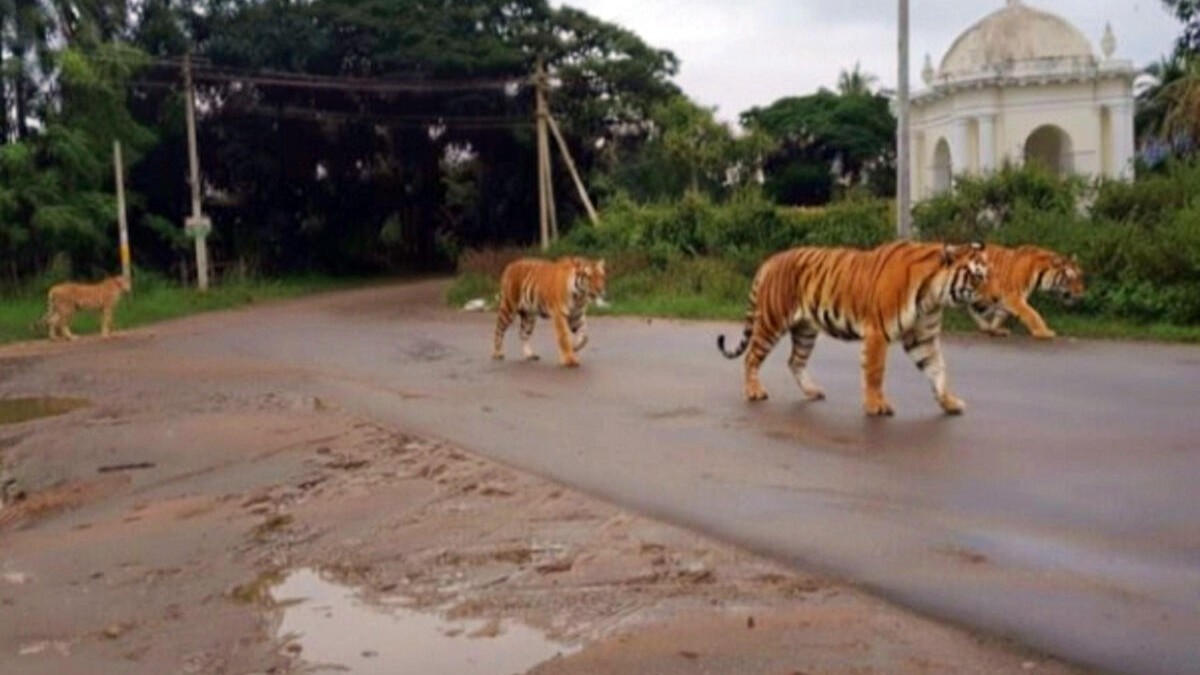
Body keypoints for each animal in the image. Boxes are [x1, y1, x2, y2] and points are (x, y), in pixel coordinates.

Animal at [717, 241, 988, 417]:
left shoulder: (923, 338)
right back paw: (754, 391)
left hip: (805, 330)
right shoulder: (878, 332)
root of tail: (771, 260)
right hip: (771, 323)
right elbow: (875, 371)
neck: (934, 296)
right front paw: (876, 406)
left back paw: (812, 391)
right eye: (977, 277)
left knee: (795, 361)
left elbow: (937, 370)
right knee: (751, 357)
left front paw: (950, 403)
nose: (994, 299)